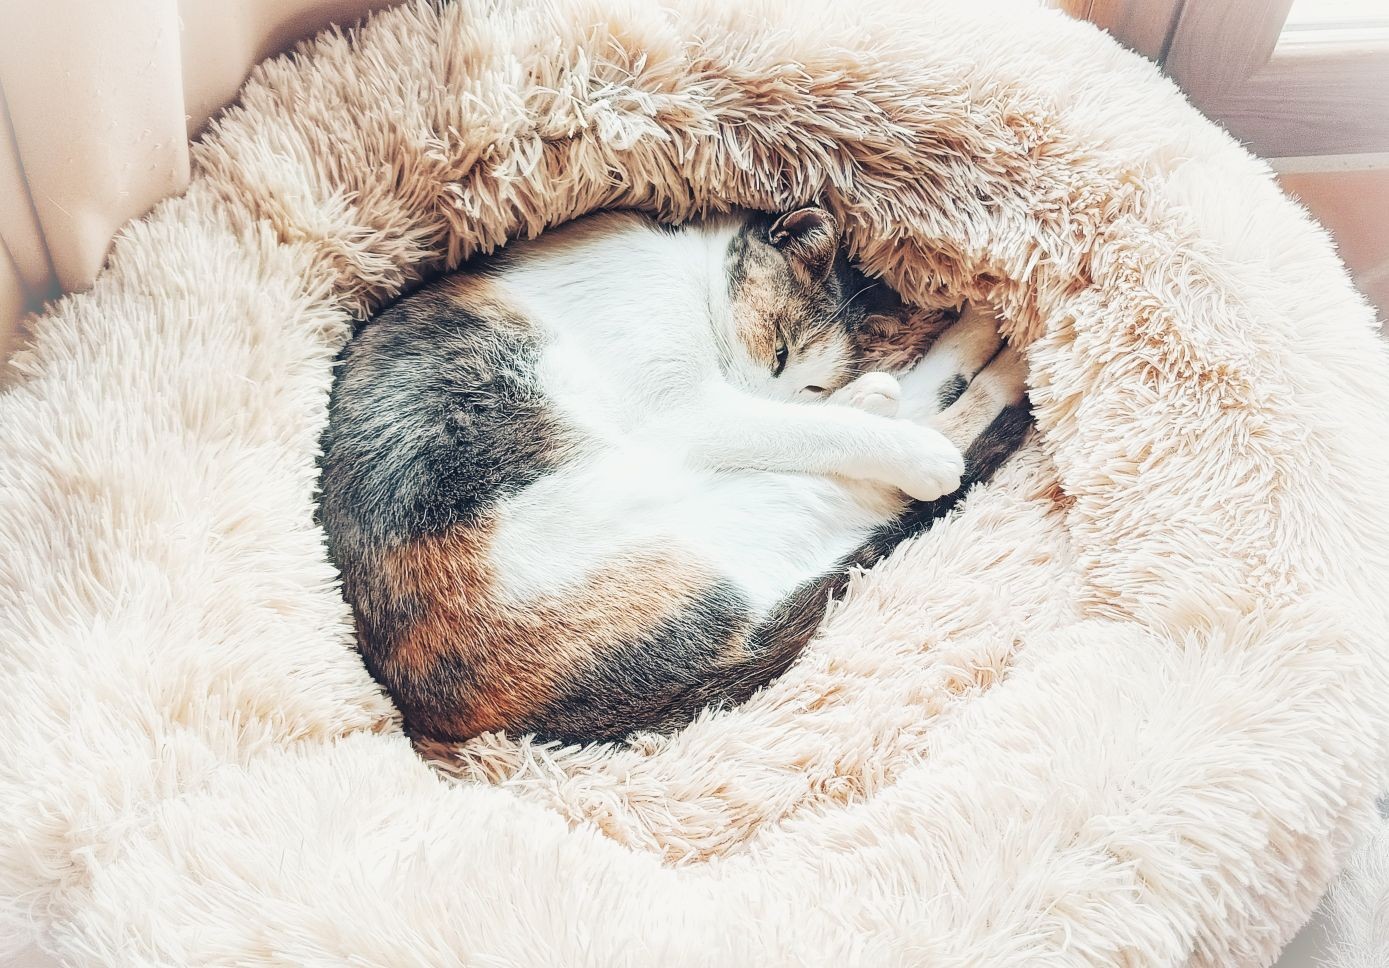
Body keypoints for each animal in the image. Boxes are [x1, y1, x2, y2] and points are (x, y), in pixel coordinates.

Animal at [318, 208, 1033, 744]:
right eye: (779, 352)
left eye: (813, 381)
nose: (818, 392)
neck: (685, 266)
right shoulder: (690, 407)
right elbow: (805, 427)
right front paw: (878, 421)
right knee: (914, 443)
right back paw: (984, 380)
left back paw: (985, 340)